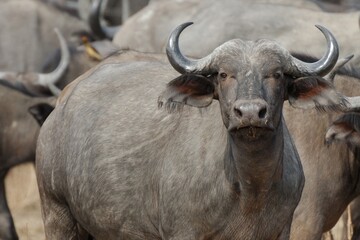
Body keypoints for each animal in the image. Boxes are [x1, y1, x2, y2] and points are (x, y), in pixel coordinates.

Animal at [36, 22, 346, 238]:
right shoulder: (182, 232)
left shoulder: (282, 230)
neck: (250, 189)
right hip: (56, 213)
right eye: (223, 74)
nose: (249, 113)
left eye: (276, 74)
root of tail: (59, 107)